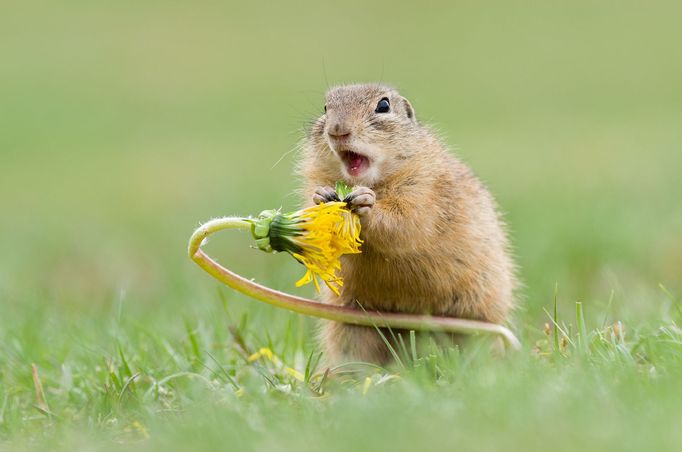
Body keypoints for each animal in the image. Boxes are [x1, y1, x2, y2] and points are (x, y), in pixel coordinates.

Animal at [298, 82, 516, 364]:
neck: (374, 181)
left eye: (383, 106)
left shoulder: (423, 187)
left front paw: (367, 205)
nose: (337, 130)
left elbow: (405, 221)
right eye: (326, 108)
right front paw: (322, 197)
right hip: (351, 327)